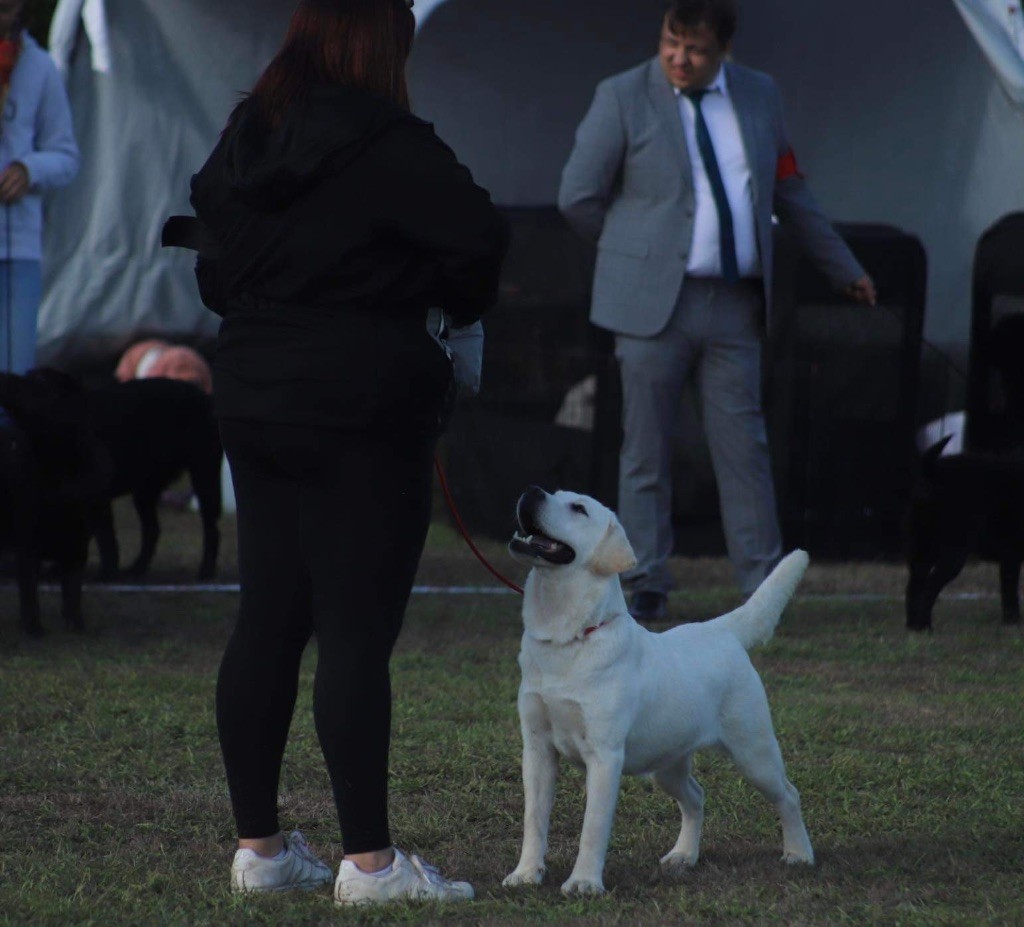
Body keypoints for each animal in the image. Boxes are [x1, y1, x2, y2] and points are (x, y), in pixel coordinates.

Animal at [0, 368, 111, 635]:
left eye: (40, 381)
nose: (3, 375)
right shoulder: (27, 540)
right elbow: (29, 591)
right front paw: (33, 631)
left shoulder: (79, 540)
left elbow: (72, 591)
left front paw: (77, 627)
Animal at [89, 376, 222, 577]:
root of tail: (204, 396)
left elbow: (106, 539)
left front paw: (107, 574)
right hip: (145, 490)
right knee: (152, 530)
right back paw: (136, 569)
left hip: (204, 476)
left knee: (211, 528)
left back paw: (205, 571)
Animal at [503, 487, 815, 893]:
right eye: (551, 492)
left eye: (578, 508)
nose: (531, 493)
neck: (567, 638)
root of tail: (721, 630)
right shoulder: (537, 749)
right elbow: (534, 820)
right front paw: (526, 874)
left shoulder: (605, 756)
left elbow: (593, 827)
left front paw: (584, 883)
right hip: (667, 764)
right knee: (696, 797)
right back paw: (684, 856)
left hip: (754, 752)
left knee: (789, 794)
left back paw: (799, 854)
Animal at [905, 434, 1024, 630]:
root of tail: (932, 471)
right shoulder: (1011, 555)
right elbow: (1010, 591)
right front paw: (1013, 623)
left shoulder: (1010, 558)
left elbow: (1009, 592)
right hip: (952, 555)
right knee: (929, 588)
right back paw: (926, 627)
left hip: (922, 551)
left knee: (914, 587)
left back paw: (914, 627)